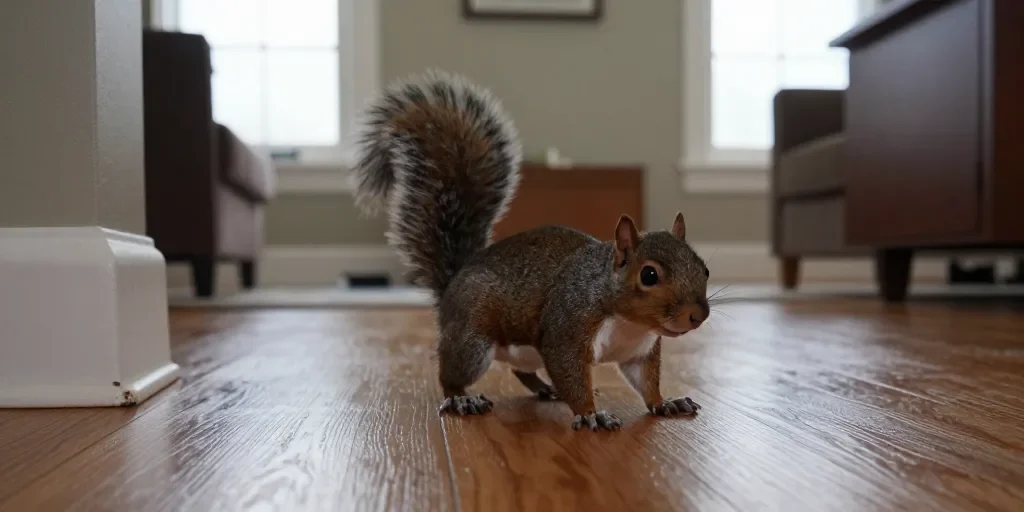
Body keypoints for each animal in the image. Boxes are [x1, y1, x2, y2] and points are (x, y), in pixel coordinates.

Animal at [352, 70, 710, 432]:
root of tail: (453, 282)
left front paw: (665, 402)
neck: (628, 322)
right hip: (472, 340)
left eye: (705, 269)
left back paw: (546, 389)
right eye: (649, 275)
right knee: (450, 374)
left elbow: (646, 381)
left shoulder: (640, 350)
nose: (698, 315)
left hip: (521, 350)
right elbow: (572, 377)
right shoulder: (566, 332)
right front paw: (590, 414)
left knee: (521, 370)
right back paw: (462, 399)